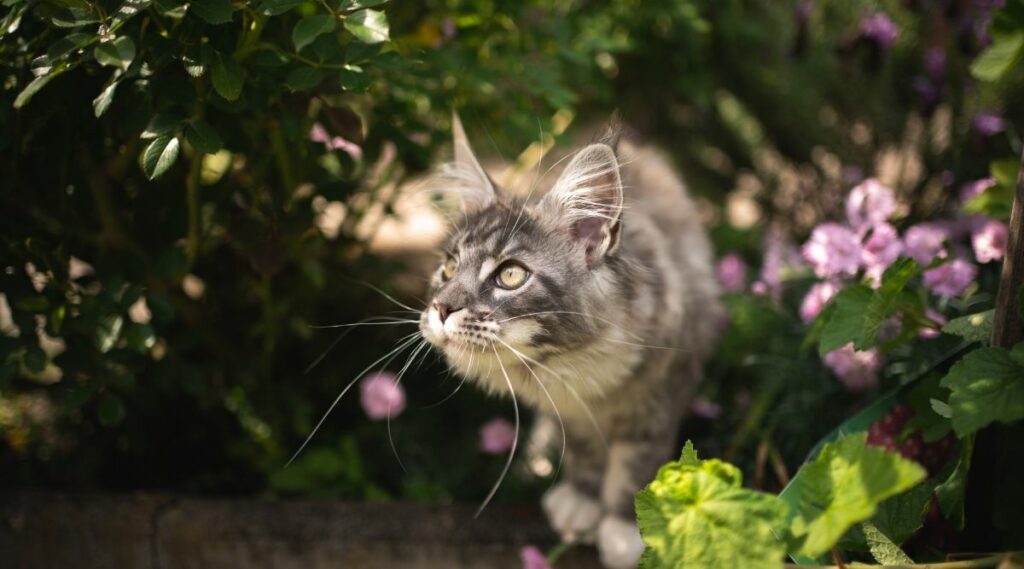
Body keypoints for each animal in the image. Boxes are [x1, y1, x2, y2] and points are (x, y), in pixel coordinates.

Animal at [419, 116, 724, 569]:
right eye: (450, 266)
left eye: (510, 275)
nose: (441, 307)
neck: (577, 361)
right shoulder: (570, 409)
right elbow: (584, 453)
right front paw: (582, 504)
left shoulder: (664, 392)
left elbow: (636, 462)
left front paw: (627, 530)